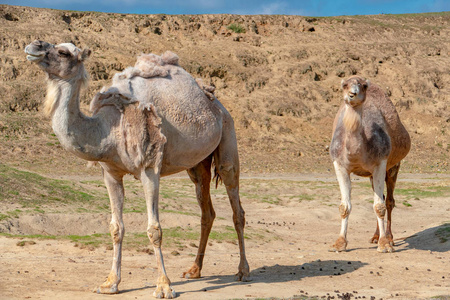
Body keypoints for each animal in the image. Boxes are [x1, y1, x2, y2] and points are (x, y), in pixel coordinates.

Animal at [24, 39, 250, 298]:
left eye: (63, 52)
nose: (34, 46)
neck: (106, 129)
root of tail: (216, 102)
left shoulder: (150, 168)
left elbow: (154, 229)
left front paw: (164, 286)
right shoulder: (110, 173)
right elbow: (116, 227)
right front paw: (110, 283)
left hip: (228, 135)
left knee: (236, 205)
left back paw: (243, 271)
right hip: (197, 165)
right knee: (207, 211)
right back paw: (194, 270)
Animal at [328, 75, 410, 253]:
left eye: (363, 86)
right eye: (344, 85)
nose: (352, 94)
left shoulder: (380, 163)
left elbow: (379, 206)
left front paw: (385, 244)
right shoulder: (340, 165)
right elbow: (344, 207)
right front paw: (339, 243)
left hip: (394, 166)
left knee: (389, 201)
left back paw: (389, 238)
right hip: (372, 175)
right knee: (383, 197)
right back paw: (375, 236)